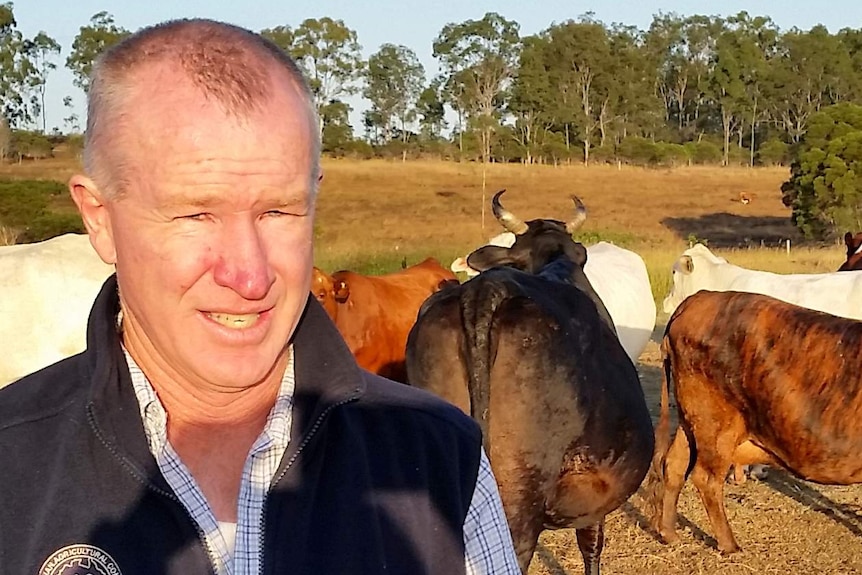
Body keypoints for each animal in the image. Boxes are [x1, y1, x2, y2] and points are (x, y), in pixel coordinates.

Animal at [652, 290, 862, 556]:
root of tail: (699, 297)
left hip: (692, 419)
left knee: (675, 464)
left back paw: (669, 533)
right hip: (716, 423)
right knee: (705, 477)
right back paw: (730, 545)